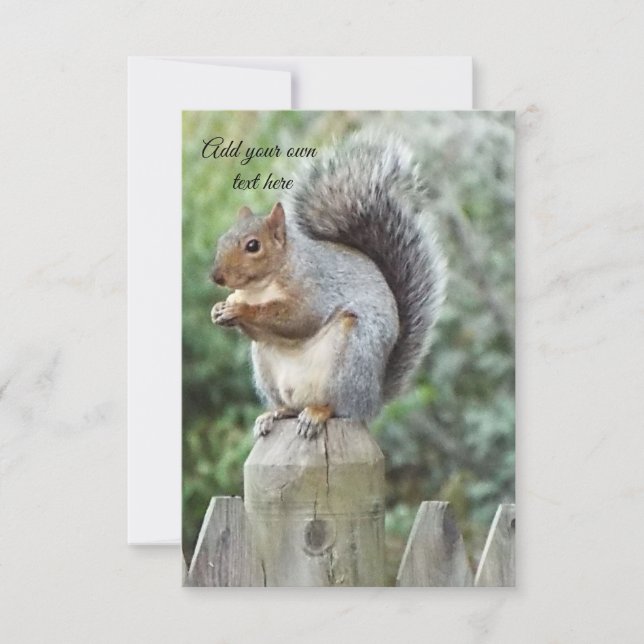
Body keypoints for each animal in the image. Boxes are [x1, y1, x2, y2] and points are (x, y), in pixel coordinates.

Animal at [210, 133, 445, 440]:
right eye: (222, 239)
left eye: (253, 246)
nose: (216, 277)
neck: (260, 288)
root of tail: (373, 400)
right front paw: (218, 310)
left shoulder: (315, 289)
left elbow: (298, 318)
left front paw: (241, 311)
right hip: (266, 365)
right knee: (290, 406)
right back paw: (274, 413)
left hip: (352, 354)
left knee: (338, 407)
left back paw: (318, 414)